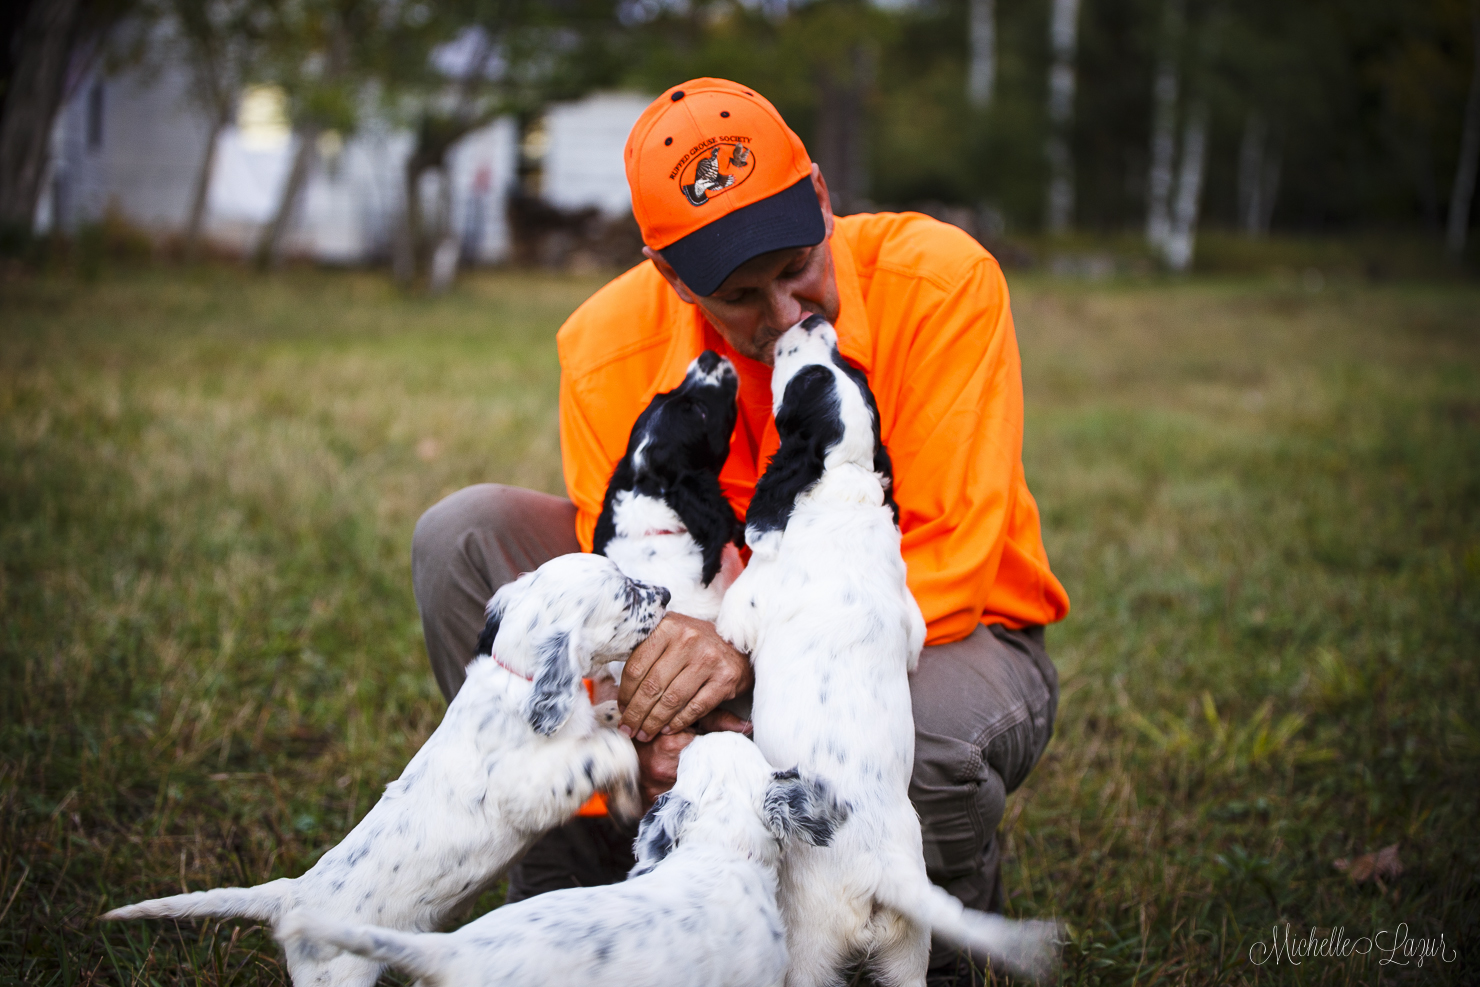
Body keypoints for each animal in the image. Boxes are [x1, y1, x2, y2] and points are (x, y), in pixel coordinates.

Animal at [99, 556, 666, 987]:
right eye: (626, 594)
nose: (664, 592)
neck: (518, 680)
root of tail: (291, 894)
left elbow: (603, 722)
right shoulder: (528, 790)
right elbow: (605, 751)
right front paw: (626, 793)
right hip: (338, 978)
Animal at [719, 318, 1059, 987]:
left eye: (804, 376)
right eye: (846, 367)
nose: (811, 321)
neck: (842, 478)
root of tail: (883, 872)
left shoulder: (750, 597)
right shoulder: (912, 615)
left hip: (808, 947)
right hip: (907, 952)